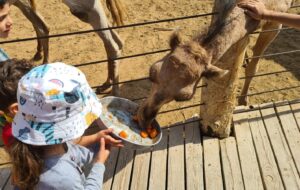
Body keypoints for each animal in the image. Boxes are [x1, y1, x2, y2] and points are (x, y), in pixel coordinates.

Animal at [137, 0, 292, 137]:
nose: (144, 118)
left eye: (183, 98)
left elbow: (253, 68)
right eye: (152, 73)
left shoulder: (276, 19)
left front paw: (243, 102)